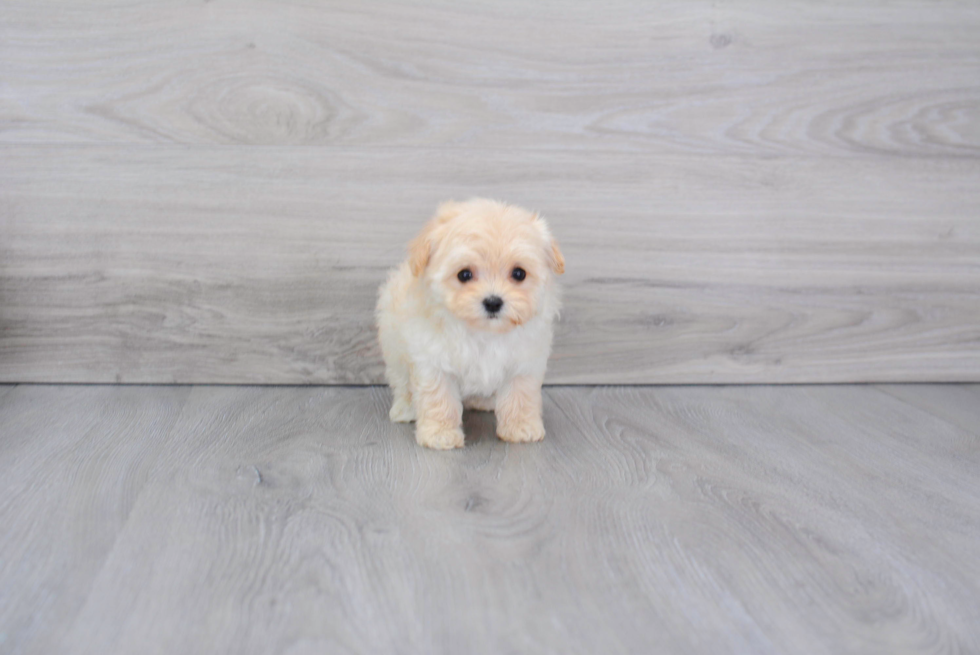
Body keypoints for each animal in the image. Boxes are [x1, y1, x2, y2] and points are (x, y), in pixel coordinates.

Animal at [378, 197, 572, 448]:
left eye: (519, 273)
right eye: (464, 274)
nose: (493, 302)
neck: (484, 332)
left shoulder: (524, 362)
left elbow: (520, 396)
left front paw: (521, 428)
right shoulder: (432, 361)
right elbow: (438, 398)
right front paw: (440, 434)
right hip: (394, 349)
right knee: (402, 383)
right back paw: (405, 408)